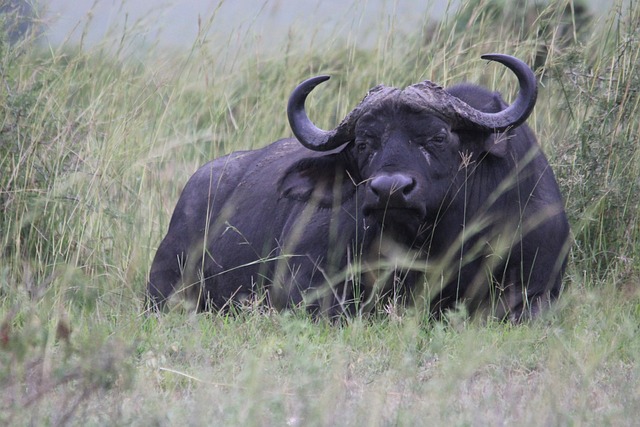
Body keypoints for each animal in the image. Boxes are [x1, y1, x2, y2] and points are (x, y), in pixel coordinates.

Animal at [149, 53, 568, 320]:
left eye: (438, 137)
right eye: (365, 143)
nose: (390, 190)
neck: (440, 241)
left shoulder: (538, 289)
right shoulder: (303, 285)